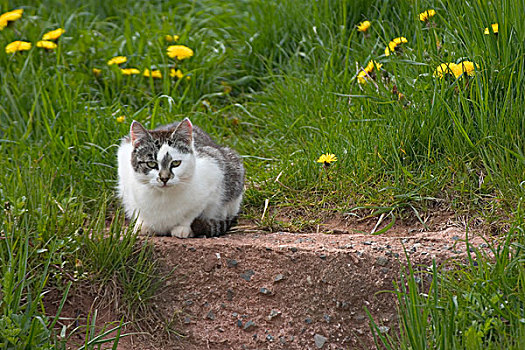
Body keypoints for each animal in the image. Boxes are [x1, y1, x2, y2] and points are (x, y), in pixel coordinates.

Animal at [116, 118, 244, 238]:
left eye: (176, 163)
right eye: (151, 164)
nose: (164, 178)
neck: (163, 197)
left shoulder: (214, 172)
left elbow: (192, 213)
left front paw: (183, 228)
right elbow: (138, 209)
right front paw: (142, 225)